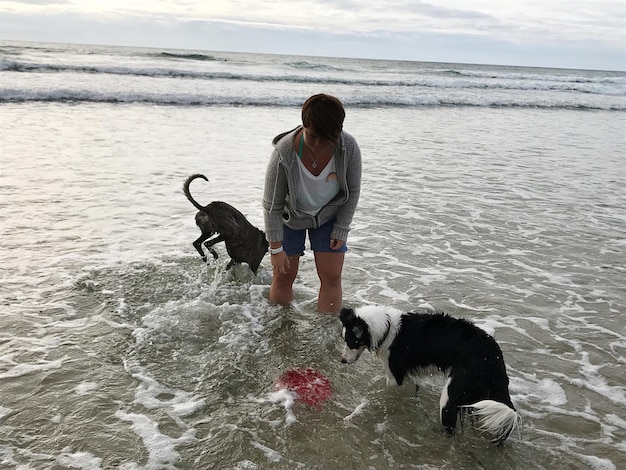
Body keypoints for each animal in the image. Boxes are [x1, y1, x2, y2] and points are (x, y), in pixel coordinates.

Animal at [338, 304, 520, 444]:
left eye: (352, 342)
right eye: (344, 340)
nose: (342, 361)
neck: (386, 328)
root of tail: (494, 356)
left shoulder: (394, 376)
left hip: (450, 395)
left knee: (450, 426)